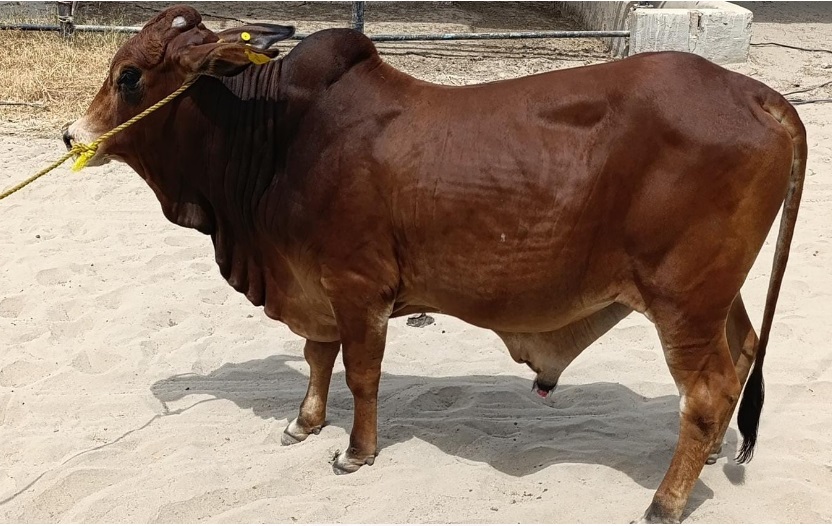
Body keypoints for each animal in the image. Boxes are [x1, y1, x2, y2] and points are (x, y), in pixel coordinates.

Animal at [62, 5, 806, 523]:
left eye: (130, 76)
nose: (72, 136)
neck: (279, 136)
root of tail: (757, 93)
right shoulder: (312, 282)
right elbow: (316, 356)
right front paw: (304, 422)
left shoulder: (357, 285)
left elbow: (361, 374)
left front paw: (355, 452)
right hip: (718, 294)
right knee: (741, 356)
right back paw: (712, 455)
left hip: (683, 299)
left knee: (706, 391)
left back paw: (666, 501)